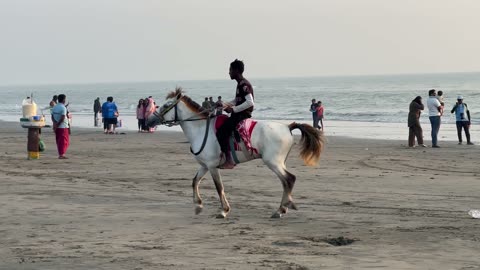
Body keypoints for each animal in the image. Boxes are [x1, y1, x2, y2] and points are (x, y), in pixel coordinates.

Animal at [148, 87, 324, 218]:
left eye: (166, 105)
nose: (150, 121)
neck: (200, 129)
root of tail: (287, 126)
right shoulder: (205, 165)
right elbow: (194, 181)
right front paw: (198, 206)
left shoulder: (212, 166)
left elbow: (219, 187)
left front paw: (223, 210)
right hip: (279, 162)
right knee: (286, 182)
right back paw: (284, 207)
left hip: (273, 162)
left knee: (289, 179)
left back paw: (281, 209)